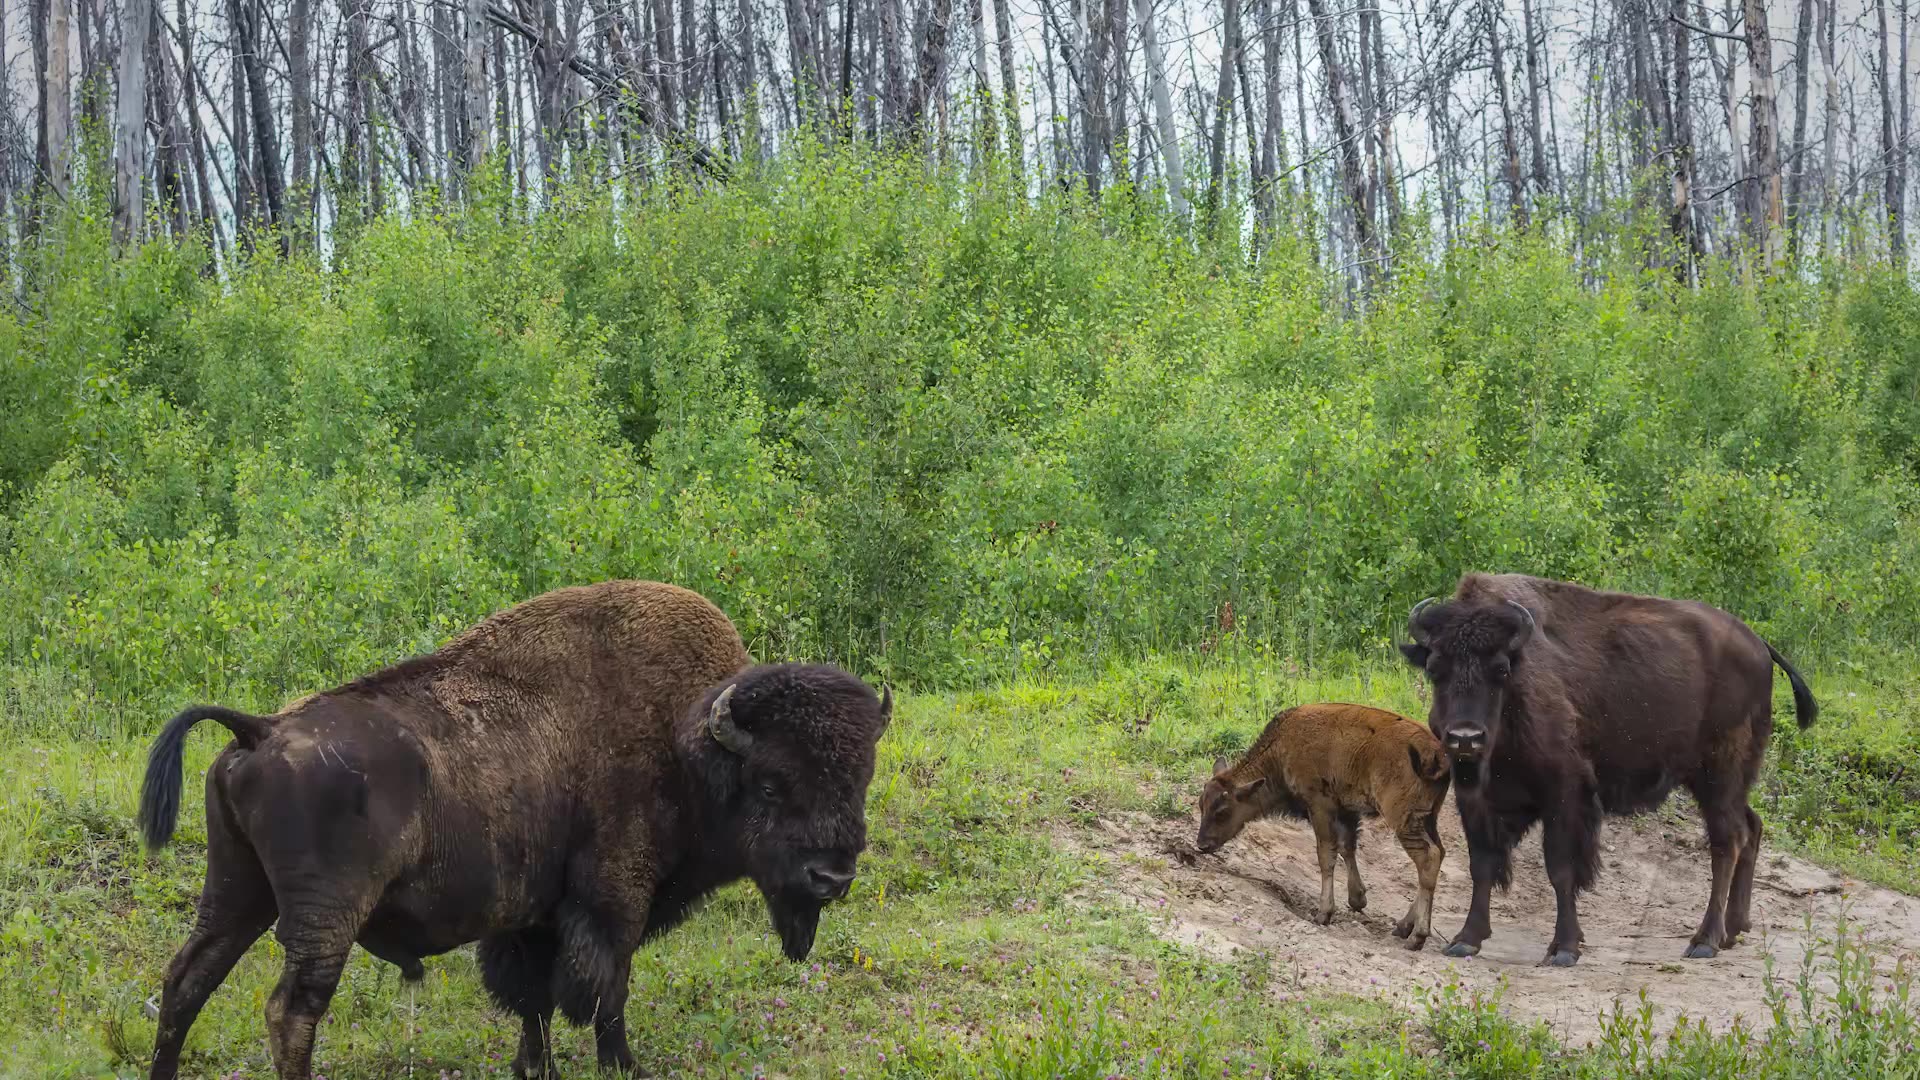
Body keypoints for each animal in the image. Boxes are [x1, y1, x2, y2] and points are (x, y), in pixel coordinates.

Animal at [137, 580, 891, 1079]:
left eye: (859, 780)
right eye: (769, 784)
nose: (832, 876)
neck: (688, 742)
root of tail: (260, 731)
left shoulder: (533, 916)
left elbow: (534, 998)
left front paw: (537, 1068)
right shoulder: (613, 902)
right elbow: (606, 989)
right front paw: (622, 1065)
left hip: (238, 891)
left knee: (186, 981)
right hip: (323, 917)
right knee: (291, 1009)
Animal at [1399, 573, 1817, 966]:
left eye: (1500, 669)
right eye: (1434, 668)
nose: (1465, 738)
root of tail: (1759, 645)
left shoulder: (1565, 793)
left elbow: (1561, 869)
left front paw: (1564, 949)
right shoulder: (1476, 800)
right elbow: (1482, 864)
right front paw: (1465, 939)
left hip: (1719, 773)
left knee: (1726, 841)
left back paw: (1704, 941)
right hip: (1722, 781)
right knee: (1751, 826)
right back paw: (1734, 929)